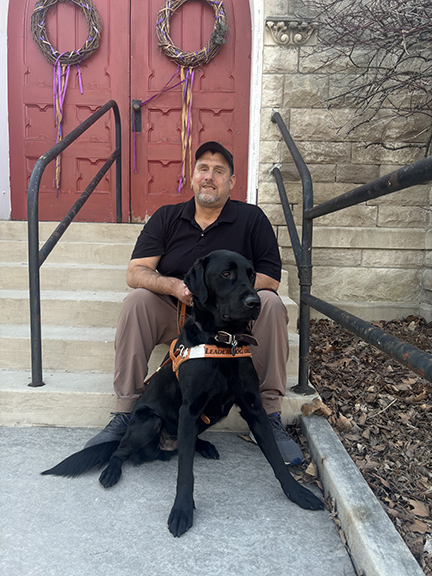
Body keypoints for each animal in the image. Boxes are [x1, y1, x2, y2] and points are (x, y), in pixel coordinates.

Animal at [42, 250, 322, 536]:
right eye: (226, 274)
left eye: (252, 274)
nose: (255, 302)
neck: (223, 342)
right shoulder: (190, 410)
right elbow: (185, 472)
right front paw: (182, 511)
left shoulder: (253, 407)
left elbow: (275, 457)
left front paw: (298, 493)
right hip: (149, 421)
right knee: (119, 450)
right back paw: (111, 472)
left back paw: (204, 445)